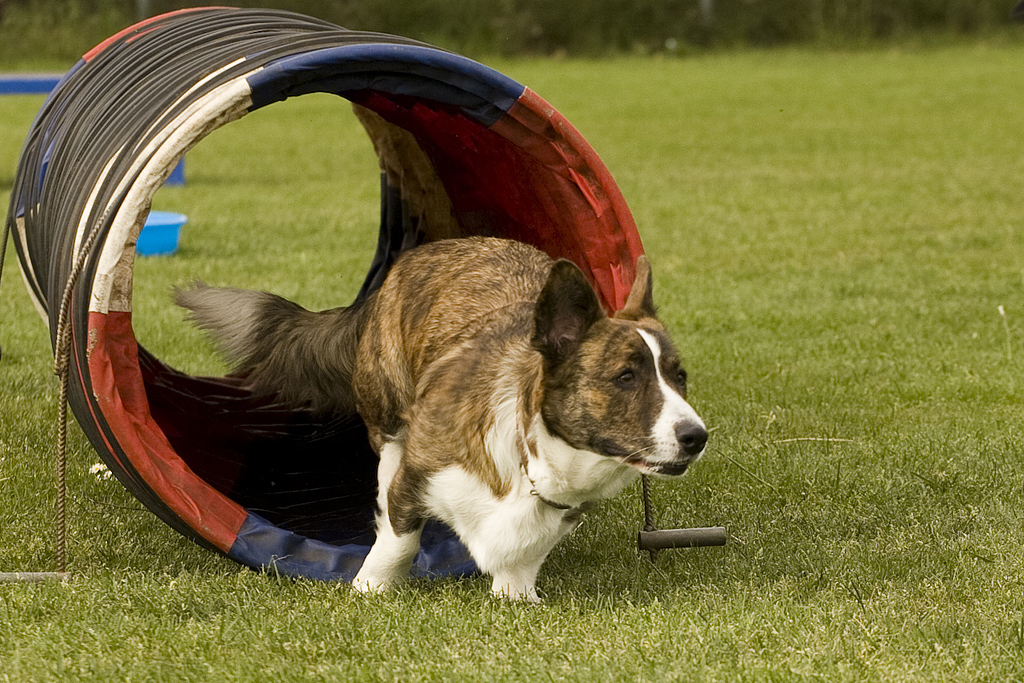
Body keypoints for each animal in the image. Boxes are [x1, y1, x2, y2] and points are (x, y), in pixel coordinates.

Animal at [174, 237, 704, 602]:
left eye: (680, 377)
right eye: (625, 377)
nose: (696, 437)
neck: (531, 458)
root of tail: (419, 255)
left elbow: (528, 553)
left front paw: (517, 597)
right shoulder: (415, 480)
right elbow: (399, 541)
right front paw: (370, 589)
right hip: (387, 407)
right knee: (388, 449)